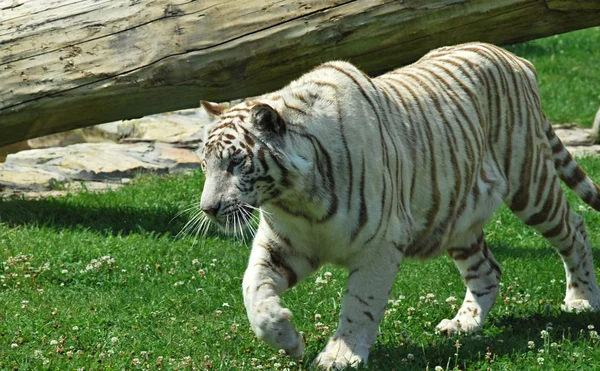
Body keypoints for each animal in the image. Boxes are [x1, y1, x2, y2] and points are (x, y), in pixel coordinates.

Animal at [198, 42, 600, 370]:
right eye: (204, 165)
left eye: (236, 162)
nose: (209, 209)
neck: (296, 198)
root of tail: (515, 58)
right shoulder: (282, 246)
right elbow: (253, 290)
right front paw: (287, 339)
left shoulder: (379, 245)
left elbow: (360, 304)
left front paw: (340, 357)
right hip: (458, 215)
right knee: (488, 269)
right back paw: (462, 324)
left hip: (530, 184)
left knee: (575, 228)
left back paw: (582, 300)